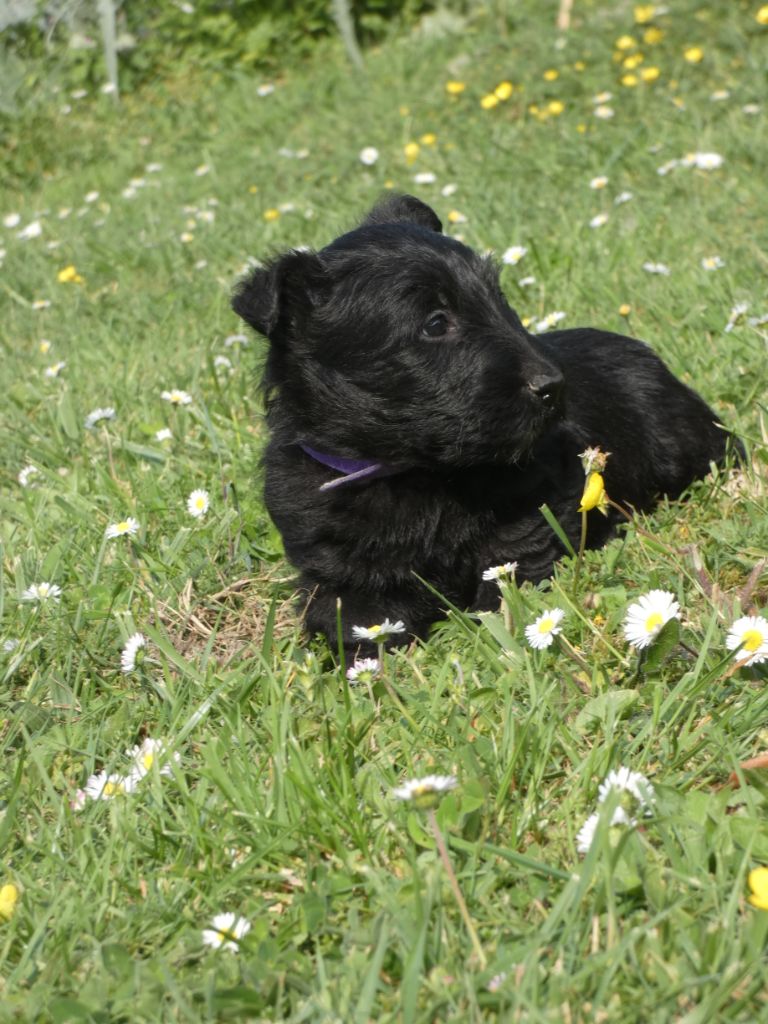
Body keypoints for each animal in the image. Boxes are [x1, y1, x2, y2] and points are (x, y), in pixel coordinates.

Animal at [233, 194, 737, 651]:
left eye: (499, 299)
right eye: (436, 323)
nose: (554, 386)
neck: (415, 470)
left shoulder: (536, 507)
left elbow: (509, 564)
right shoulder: (330, 560)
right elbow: (347, 615)